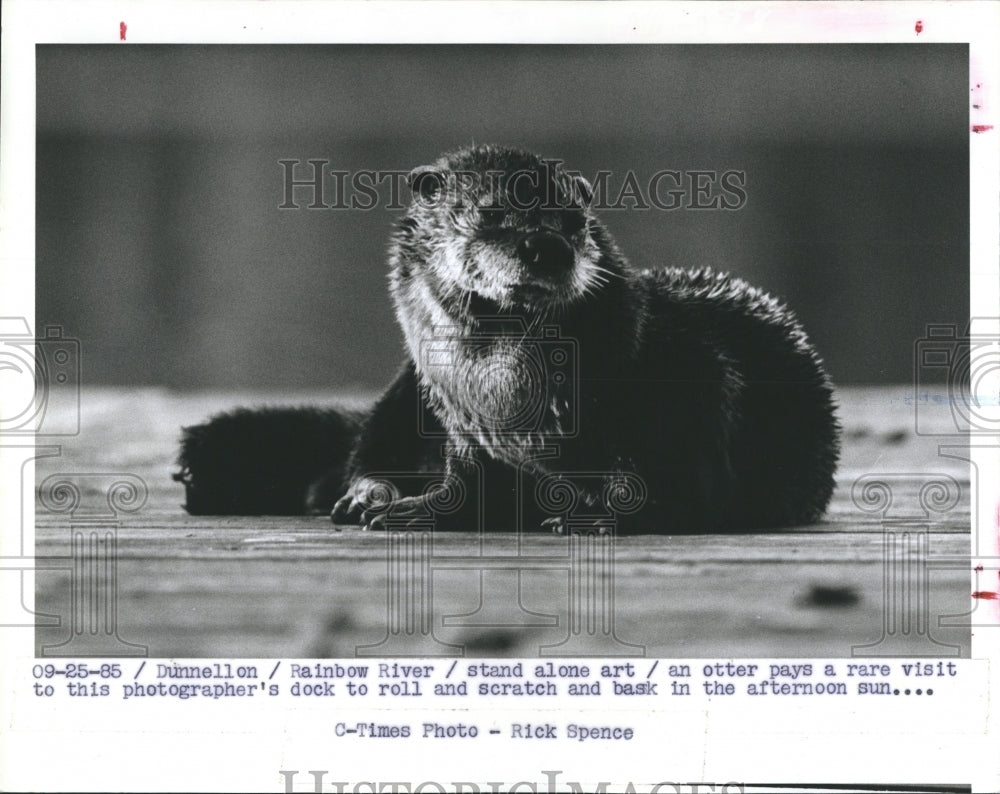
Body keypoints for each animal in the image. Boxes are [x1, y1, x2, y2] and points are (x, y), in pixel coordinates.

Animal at [175, 145, 840, 533]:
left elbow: (677, 487)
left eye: (572, 222)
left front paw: (601, 519)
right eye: (493, 213)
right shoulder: (459, 422)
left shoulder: (690, 388)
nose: (546, 247)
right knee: (364, 447)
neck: (501, 396)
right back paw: (367, 494)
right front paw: (415, 509)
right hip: (406, 385)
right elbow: (463, 486)